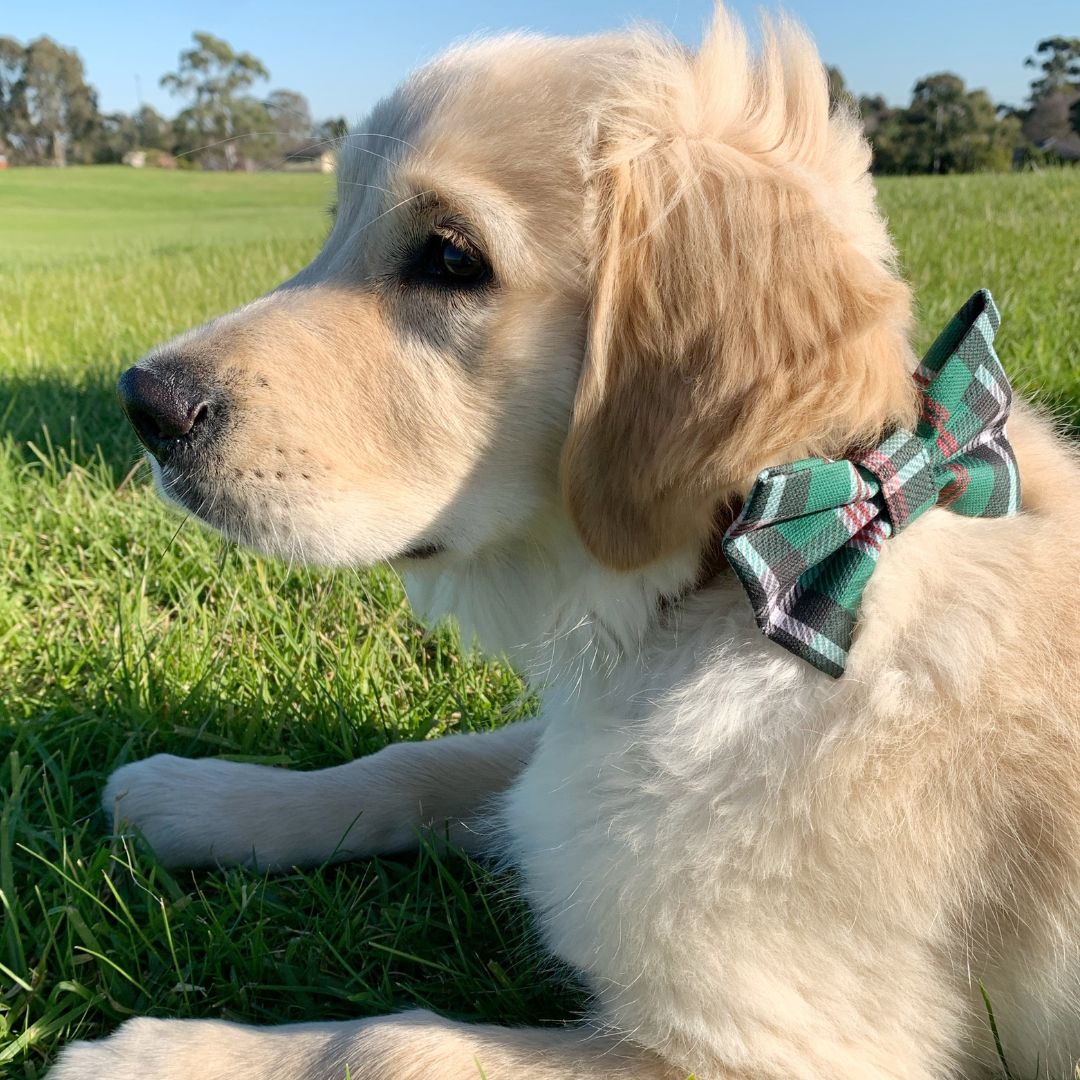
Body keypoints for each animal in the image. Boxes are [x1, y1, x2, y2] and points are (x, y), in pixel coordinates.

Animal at [48, 8, 1080, 1080]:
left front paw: (153, 1054)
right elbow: (419, 761)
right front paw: (194, 793)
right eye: (337, 227)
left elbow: (390, 1044)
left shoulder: (771, 1051)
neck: (744, 575)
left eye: (451, 258)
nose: (143, 403)